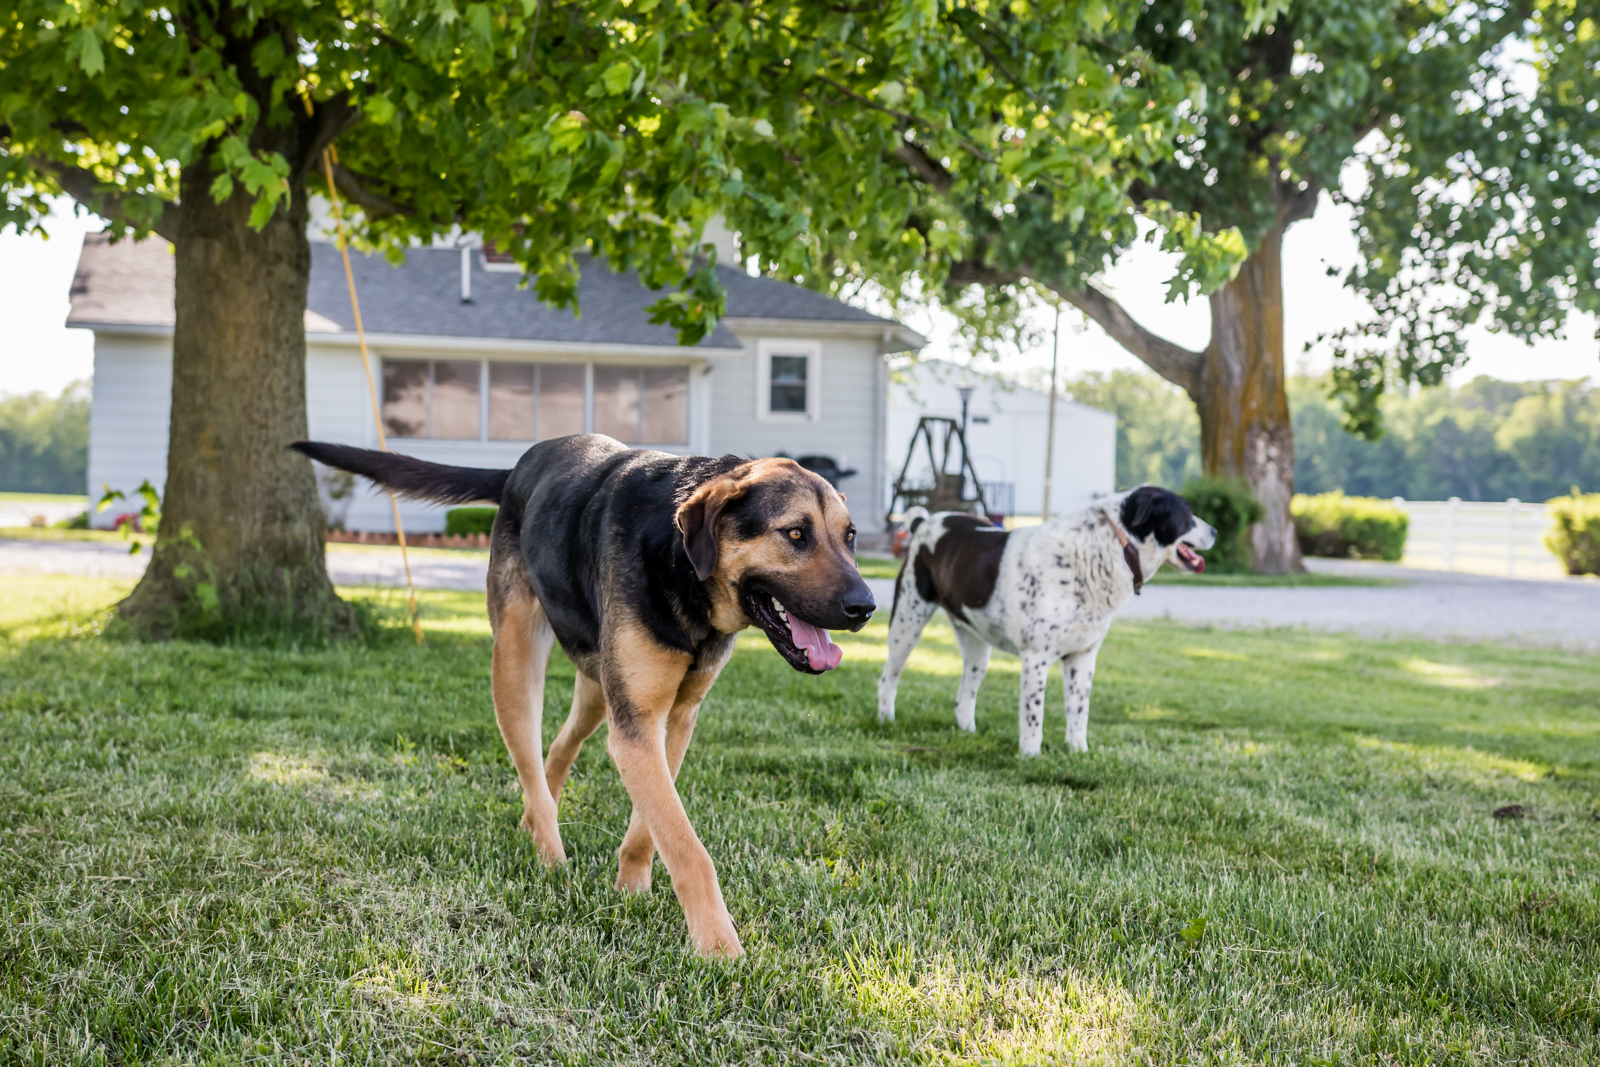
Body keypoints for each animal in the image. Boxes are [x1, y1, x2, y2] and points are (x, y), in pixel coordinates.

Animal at [294, 435, 883, 959]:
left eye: (850, 536)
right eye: (795, 533)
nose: (866, 606)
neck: (682, 570)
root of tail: (518, 467)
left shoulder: (670, 720)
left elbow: (652, 826)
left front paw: (631, 889)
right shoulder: (637, 725)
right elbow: (689, 849)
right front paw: (721, 950)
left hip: (599, 688)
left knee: (557, 748)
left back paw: (536, 822)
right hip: (515, 663)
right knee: (528, 755)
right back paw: (549, 852)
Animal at [876, 489, 1209, 755]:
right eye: (1188, 513)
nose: (1215, 531)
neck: (1107, 548)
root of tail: (925, 522)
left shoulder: (1082, 657)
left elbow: (1079, 712)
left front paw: (1078, 752)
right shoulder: (1036, 658)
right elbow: (1033, 716)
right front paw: (1030, 756)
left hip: (977, 647)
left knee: (964, 695)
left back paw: (968, 732)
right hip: (907, 625)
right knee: (888, 678)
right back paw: (885, 721)